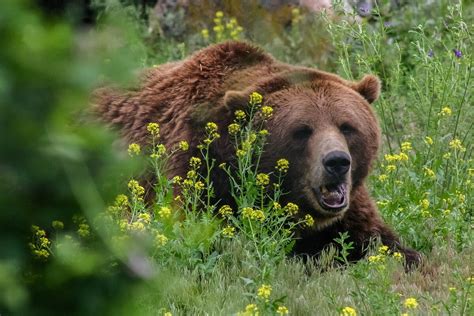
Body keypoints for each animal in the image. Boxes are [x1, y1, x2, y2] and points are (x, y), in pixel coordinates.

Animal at [94, 39, 420, 266]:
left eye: (347, 126)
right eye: (303, 130)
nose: (337, 162)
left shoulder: (349, 208)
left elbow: (379, 240)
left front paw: (403, 258)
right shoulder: (199, 174)